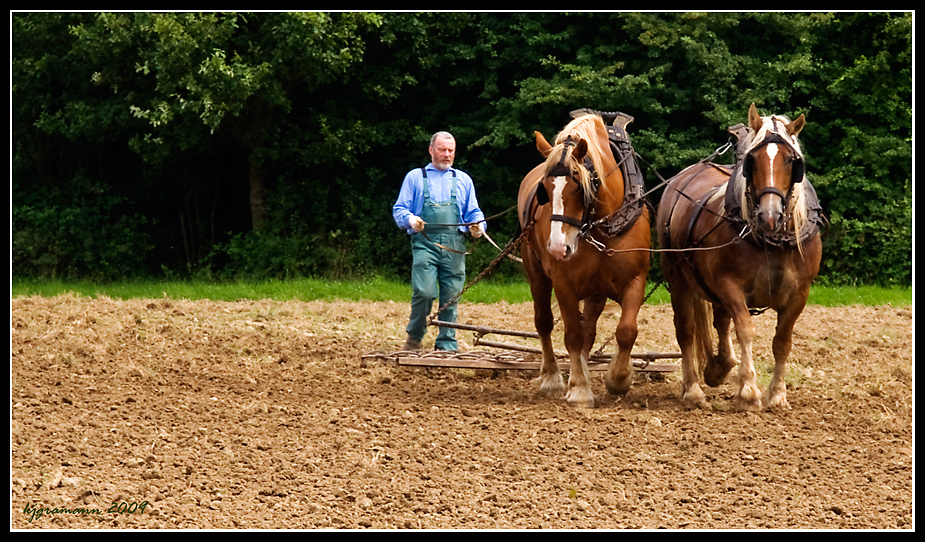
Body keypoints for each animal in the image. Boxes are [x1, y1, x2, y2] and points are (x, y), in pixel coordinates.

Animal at [520, 111, 648, 408]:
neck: (603, 223)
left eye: (579, 187)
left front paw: (618, 378)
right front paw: (578, 388)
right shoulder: (563, 282)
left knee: (589, 329)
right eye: (545, 191)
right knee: (544, 322)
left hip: (596, 290)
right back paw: (553, 378)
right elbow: (572, 335)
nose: (557, 248)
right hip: (536, 273)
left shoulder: (636, 279)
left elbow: (626, 330)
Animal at [656, 105, 824, 412]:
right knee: (686, 330)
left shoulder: (800, 294)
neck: (772, 241)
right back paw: (693, 389)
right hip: (678, 280)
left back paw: (719, 367)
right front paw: (748, 391)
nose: (770, 215)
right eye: (752, 160)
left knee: (720, 323)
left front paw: (777, 394)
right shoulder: (729, 285)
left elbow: (782, 341)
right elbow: (745, 329)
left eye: (791, 161)